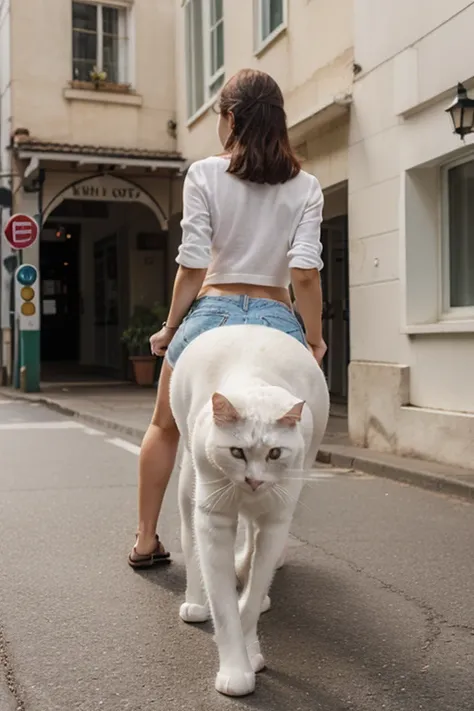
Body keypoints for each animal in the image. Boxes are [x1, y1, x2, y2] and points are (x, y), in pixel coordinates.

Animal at [170, 326, 330, 700]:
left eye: (275, 453)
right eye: (236, 452)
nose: (253, 480)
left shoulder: (275, 521)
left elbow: (252, 594)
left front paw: (251, 648)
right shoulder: (213, 520)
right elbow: (224, 605)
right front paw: (235, 670)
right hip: (188, 488)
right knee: (189, 543)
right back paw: (194, 602)